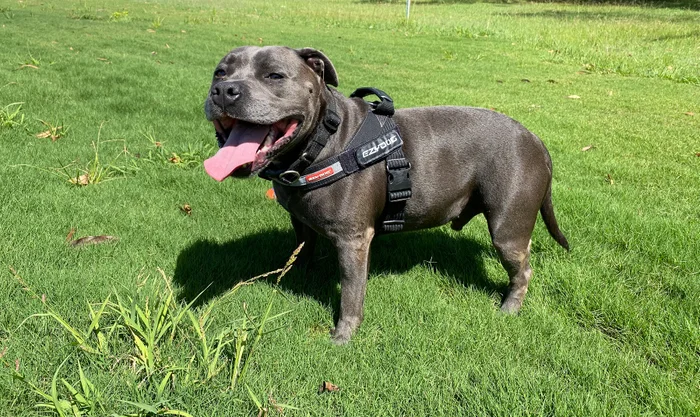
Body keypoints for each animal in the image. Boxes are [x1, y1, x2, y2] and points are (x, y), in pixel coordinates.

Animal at [202, 46, 568, 344]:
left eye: (274, 75)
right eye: (219, 72)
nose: (224, 90)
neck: (324, 141)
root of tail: (536, 140)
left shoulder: (353, 240)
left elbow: (352, 292)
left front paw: (343, 334)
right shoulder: (301, 222)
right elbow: (302, 249)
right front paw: (295, 277)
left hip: (508, 230)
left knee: (523, 270)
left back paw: (509, 308)